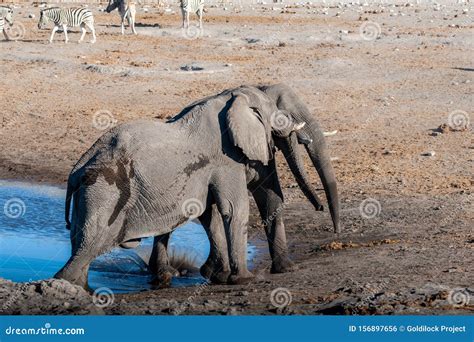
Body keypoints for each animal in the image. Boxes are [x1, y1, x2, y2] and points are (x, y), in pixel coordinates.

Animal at [54, 85, 308, 288]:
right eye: (274, 113)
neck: (230, 98)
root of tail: (78, 167)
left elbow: (212, 211)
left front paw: (219, 276)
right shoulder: (226, 158)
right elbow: (234, 209)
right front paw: (244, 280)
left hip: (91, 195)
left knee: (81, 244)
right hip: (104, 193)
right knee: (89, 246)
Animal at [150, 83, 338, 286]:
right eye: (286, 113)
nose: (320, 207)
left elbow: (269, 194)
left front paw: (285, 268)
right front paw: (289, 269)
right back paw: (167, 274)